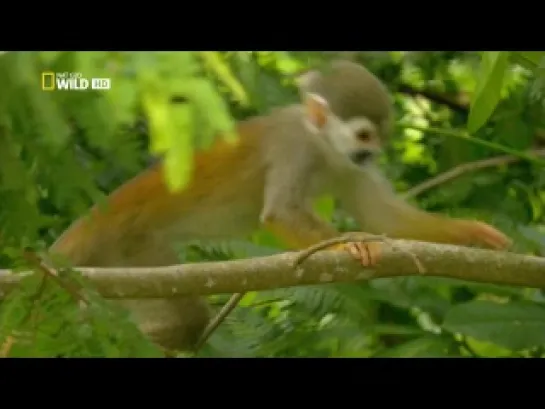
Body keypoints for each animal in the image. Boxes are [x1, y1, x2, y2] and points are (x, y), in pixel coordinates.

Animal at [49, 59, 512, 350]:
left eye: (380, 137)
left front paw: (472, 234)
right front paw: (350, 243)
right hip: (129, 251)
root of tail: (98, 216)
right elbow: (280, 213)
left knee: (183, 319)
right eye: (364, 136)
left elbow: (385, 217)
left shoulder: (347, 166)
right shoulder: (294, 148)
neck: (322, 144)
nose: (372, 154)